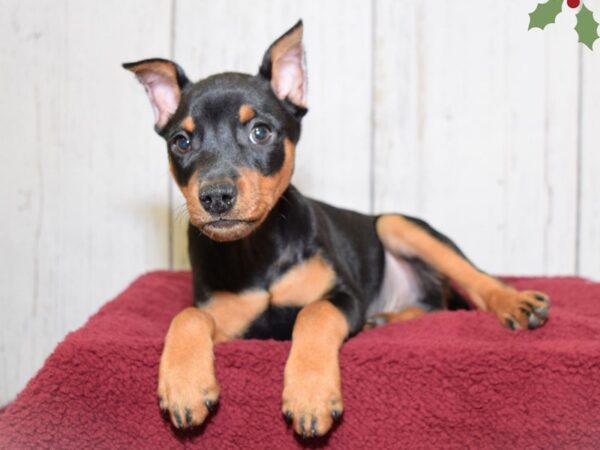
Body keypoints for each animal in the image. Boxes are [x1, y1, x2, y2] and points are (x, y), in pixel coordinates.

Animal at [124, 21, 552, 440]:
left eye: (260, 132)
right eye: (181, 142)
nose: (215, 197)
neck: (258, 250)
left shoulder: (345, 296)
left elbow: (313, 313)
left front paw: (309, 396)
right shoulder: (232, 322)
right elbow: (187, 316)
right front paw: (185, 388)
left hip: (396, 225)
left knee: (473, 278)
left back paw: (516, 303)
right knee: (434, 308)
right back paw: (385, 319)